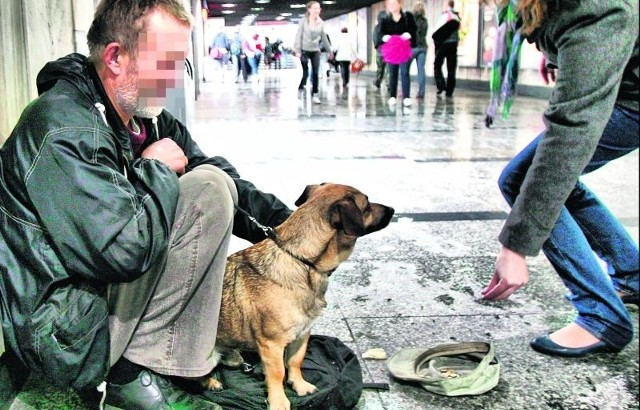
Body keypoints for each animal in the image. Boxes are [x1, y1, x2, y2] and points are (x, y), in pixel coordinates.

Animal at [205, 183, 396, 410]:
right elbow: (277, 373)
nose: (392, 210)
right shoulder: (272, 345)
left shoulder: (302, 335)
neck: (301, 261)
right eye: (366, 206)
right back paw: (210, 382)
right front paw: (279, 401)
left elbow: (294, 362)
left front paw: (299, 385)